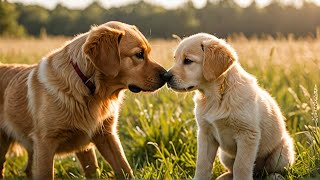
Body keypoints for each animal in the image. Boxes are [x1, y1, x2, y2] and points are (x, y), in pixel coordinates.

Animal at [0, 20, 168, 179]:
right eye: (139, 54)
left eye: (148, 53)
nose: (166, 76)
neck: (89, 88)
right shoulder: (45, 143)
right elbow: (46, 173)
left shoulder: (105, 135)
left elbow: (123, 168)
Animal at [166, 33, 296, 179]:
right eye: (175, 59)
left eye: (188, 61)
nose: (165, 76)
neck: (216, 96)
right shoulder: (205, 133)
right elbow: (203, 164)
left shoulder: (247, 134)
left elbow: (241, 165)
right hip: (225, 155)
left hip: (281, 153)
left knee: (271, 170)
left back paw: (275, 176)